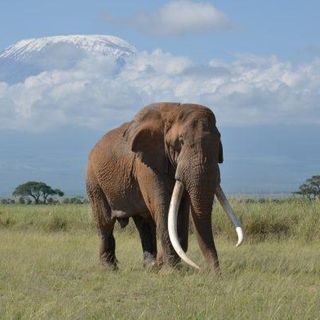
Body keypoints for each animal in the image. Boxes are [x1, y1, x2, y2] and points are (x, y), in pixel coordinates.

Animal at [85, 103, 242, 272]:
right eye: (180, 142)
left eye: (218, 141)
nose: (215, 273)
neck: (174, 111)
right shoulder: (147, 165)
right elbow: (164, 207)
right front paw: (170, 272)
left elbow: (182, 210)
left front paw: (162, 265)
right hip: (94, 181)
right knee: (105, 222)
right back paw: (109, 268)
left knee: (143, 223)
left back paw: (150, 266)